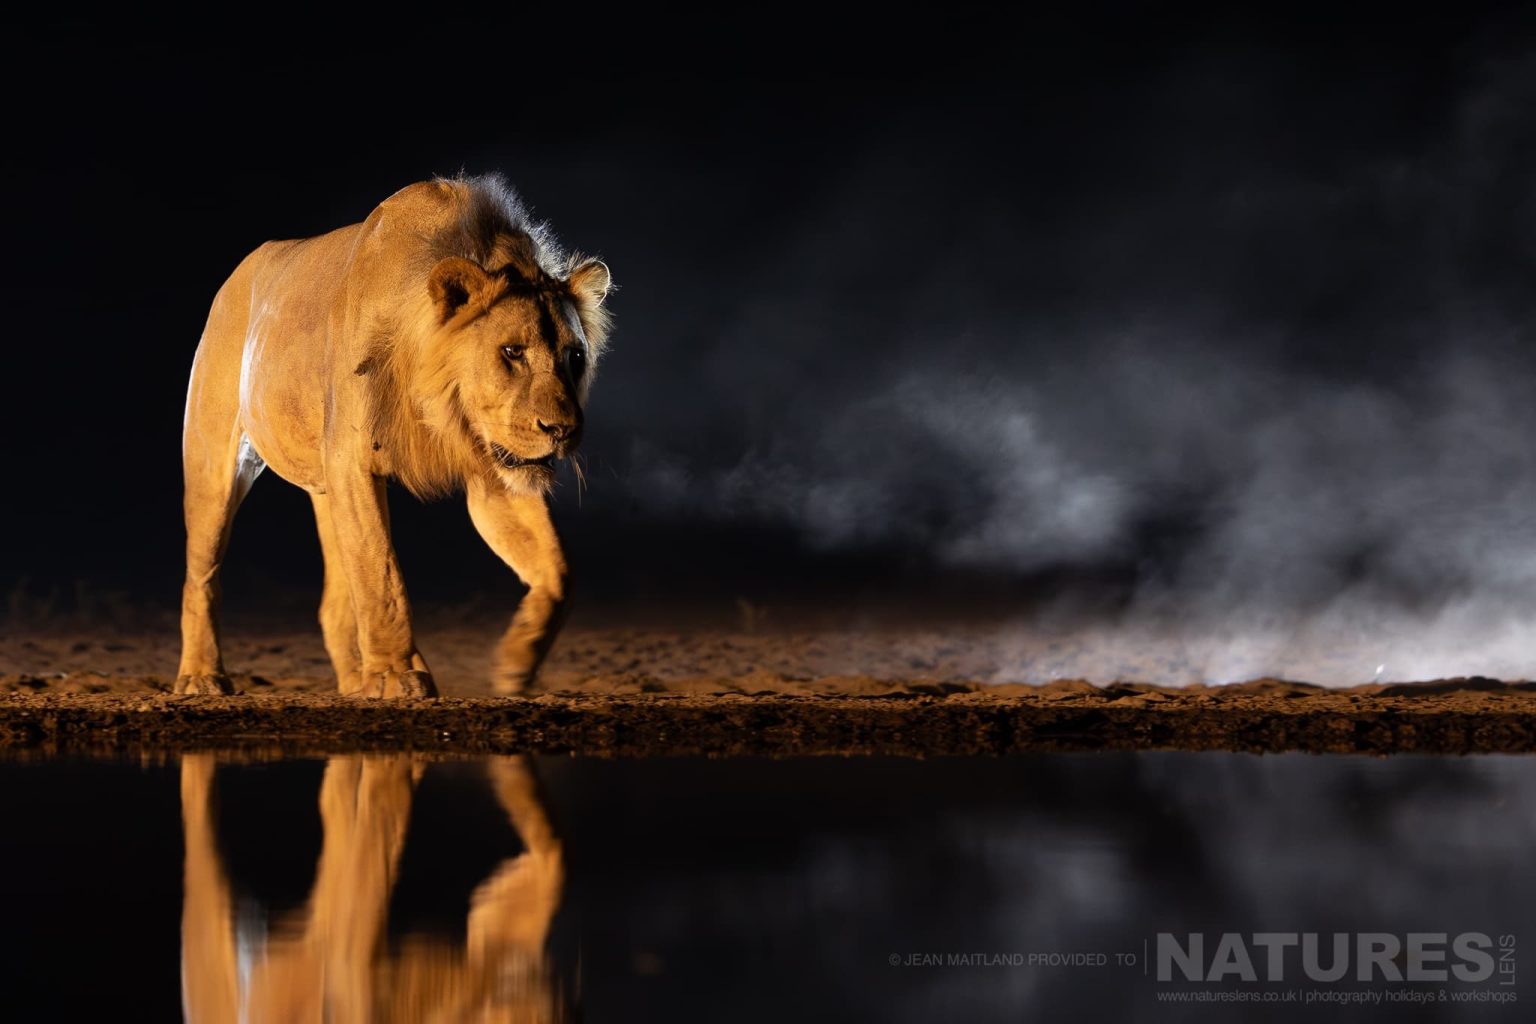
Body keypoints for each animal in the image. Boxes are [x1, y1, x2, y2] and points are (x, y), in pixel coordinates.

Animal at [176, 175, 612, 697]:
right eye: (512, 352)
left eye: (574, 357)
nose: (561, 429)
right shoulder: (354, 462)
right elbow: (381, 572)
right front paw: (396, 675)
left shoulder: (494, 471)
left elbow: (557, 570)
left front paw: (515, 663)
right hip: (214, 463)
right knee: (201, 574)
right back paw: (201, 677)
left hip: (324, 484)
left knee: (335, 598)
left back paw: (354, 682)